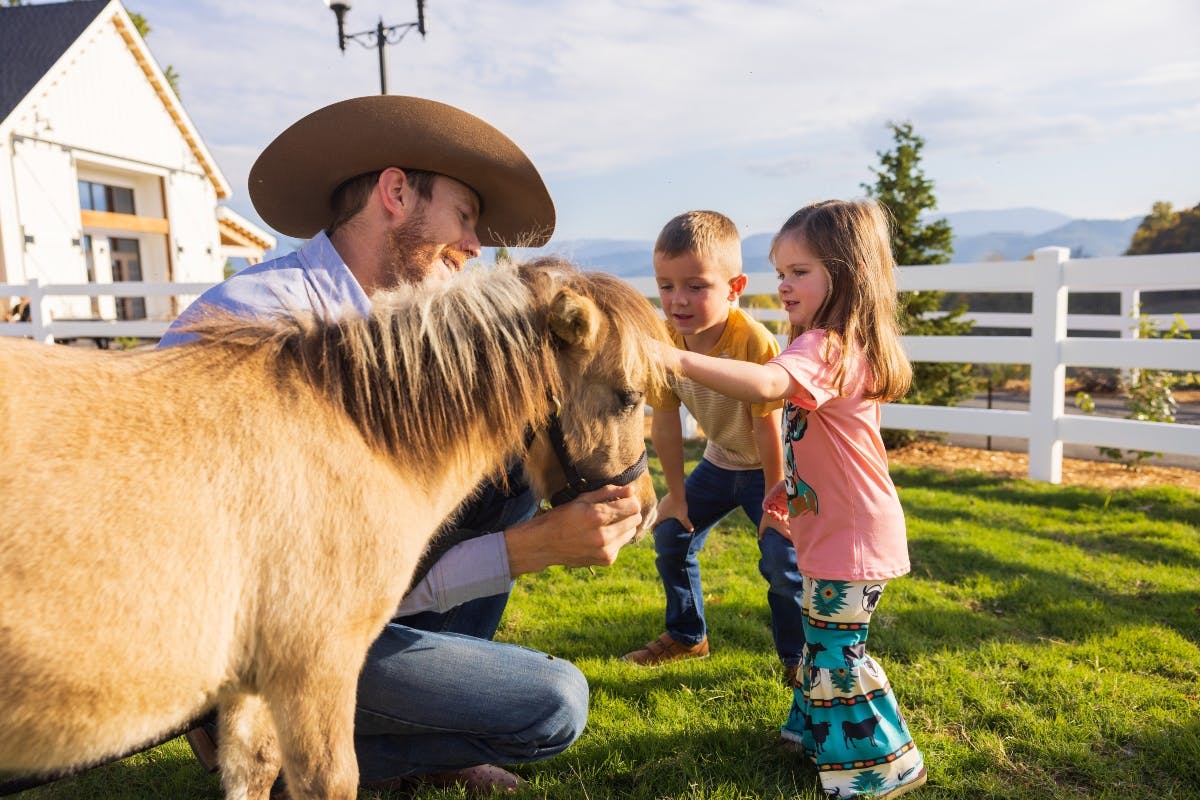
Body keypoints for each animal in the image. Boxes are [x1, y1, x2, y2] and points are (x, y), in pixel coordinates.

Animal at [0, 257, 671, 800]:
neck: (356, 429)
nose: (644, 511)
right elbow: (329, 780)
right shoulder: (315, 669)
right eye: (627, 396)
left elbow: (253, 770)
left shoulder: (250, 685)